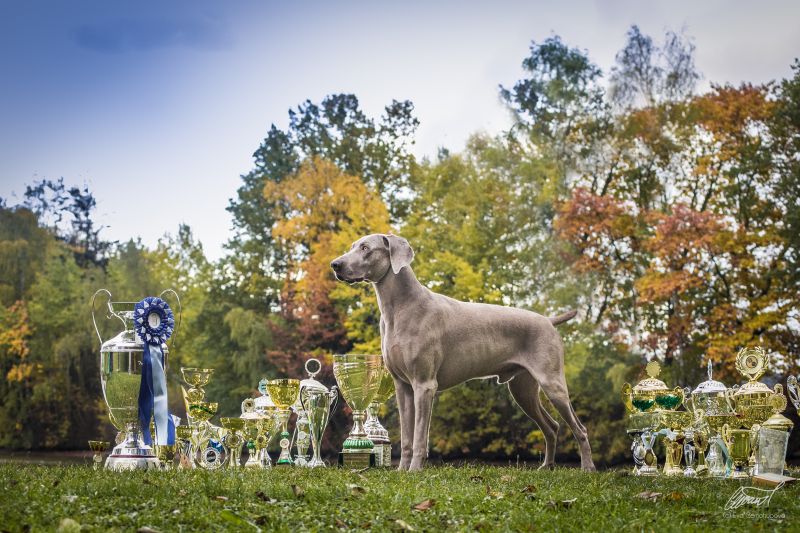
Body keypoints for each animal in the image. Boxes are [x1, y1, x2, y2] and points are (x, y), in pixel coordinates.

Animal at [330, 233, 592, 470]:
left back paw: (587, 469)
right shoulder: (402, 387)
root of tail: (549, 320)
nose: (335, 265)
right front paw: (402, 471)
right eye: (352, 246)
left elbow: (419, 437)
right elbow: (406, 437)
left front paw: (414, 471)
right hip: (522, 390)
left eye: (365, 248)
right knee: (552, 427)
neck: (400, 307)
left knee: (580, 429)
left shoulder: (424, 385)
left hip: (552, 383)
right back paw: (546, 467)